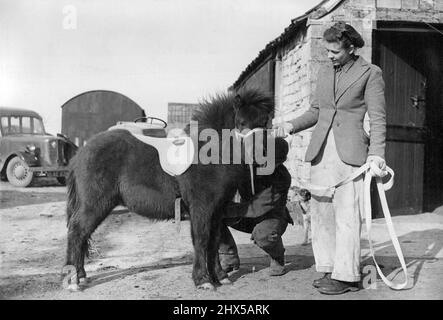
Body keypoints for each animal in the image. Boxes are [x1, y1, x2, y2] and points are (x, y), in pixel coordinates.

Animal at [64, 87, 276, 290]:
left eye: (266, 122)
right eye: (241, 122)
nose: (262, 155)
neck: (209, 153)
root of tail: (81, 152)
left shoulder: (218, 210)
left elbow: (214, 241)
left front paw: (220, 277)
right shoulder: (201, 208)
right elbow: (201, 239)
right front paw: (203, 280)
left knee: (81, 234)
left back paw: (80, 276)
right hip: (95, 204)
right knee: (77, 232)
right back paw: (74, 281)